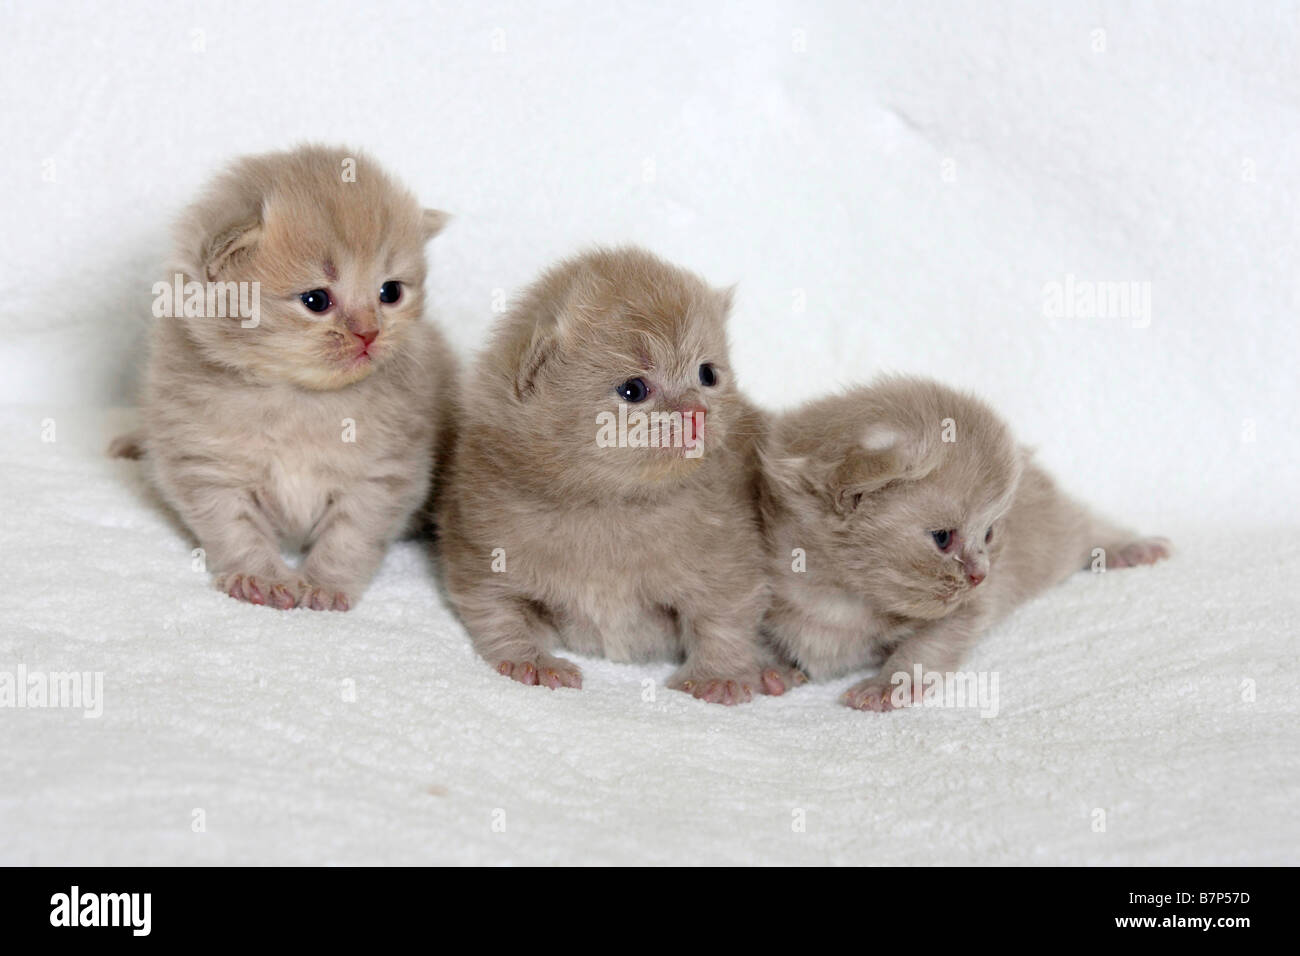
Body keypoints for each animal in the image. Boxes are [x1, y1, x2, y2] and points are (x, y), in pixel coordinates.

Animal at [111, 147, 457, 613]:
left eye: (390, 292)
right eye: (316, 300)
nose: (369, 333)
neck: (297, 398)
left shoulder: (384, 472)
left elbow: (350, 535)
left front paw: (325, 583)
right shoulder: (205, 463)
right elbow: (234, 527)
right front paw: (259, 576)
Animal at [441, 251, 795, 707]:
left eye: (708, 374)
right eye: (633, 390)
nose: (697, 414)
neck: (609, 504)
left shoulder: (730, 552)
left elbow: (725, 616)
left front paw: (716, 676)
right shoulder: (480, 545)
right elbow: (495, 610)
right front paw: (530, 661)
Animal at [759, 374, 1175, 712]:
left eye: (988, 534)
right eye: (943, 538)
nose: (981, 575)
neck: (844, 597)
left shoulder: (969, 609)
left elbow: (926, 646)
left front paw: (888, 683)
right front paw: (770, 669)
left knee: (1086, 526)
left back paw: (1129, 548)